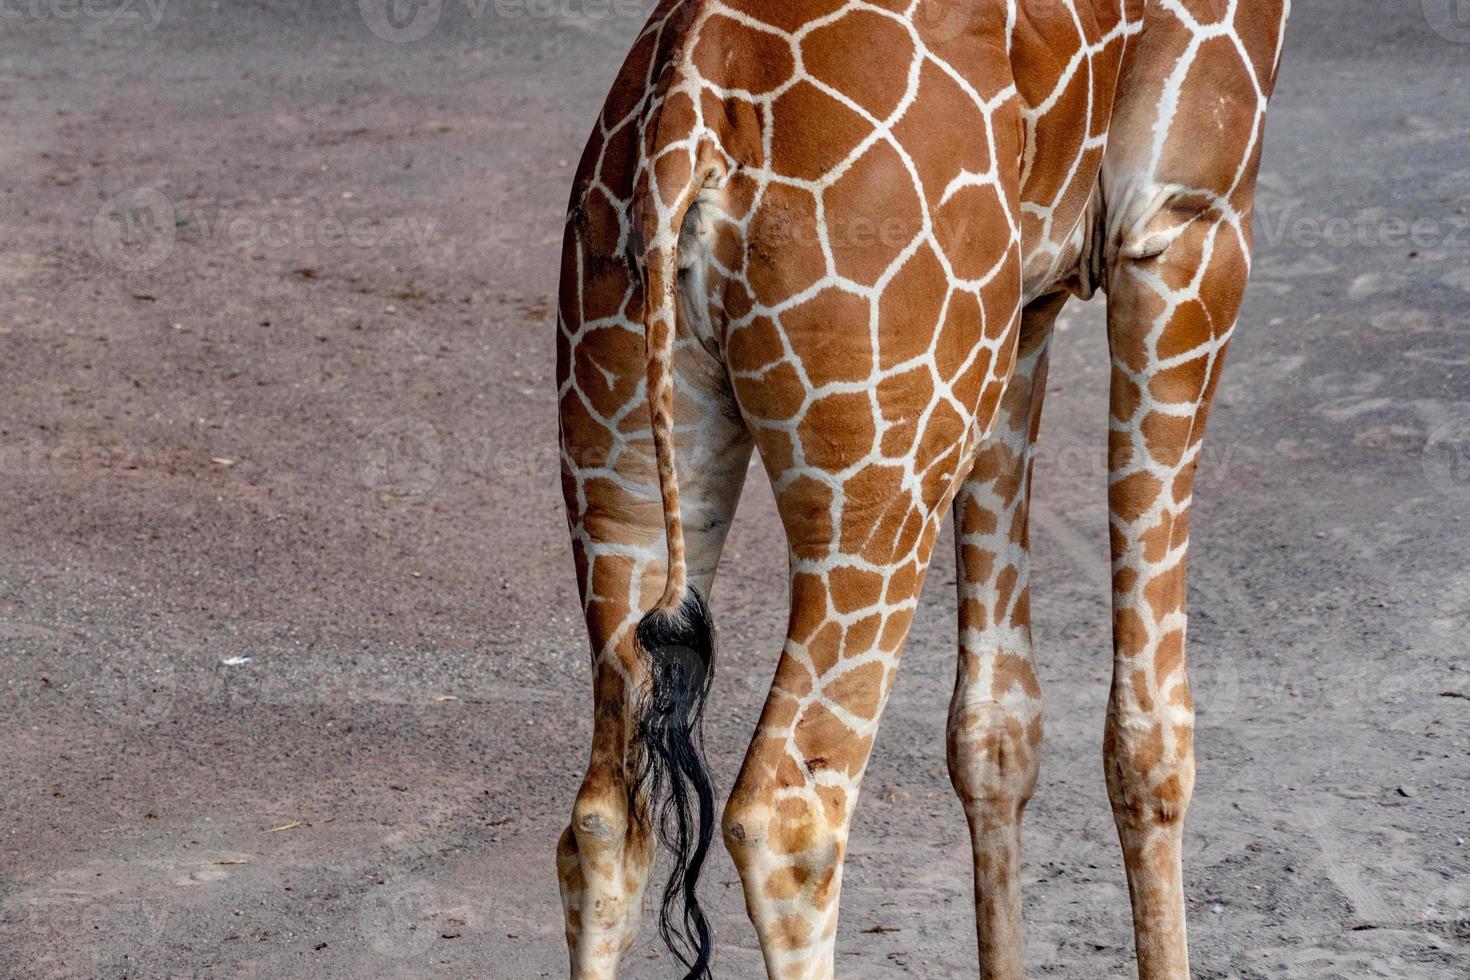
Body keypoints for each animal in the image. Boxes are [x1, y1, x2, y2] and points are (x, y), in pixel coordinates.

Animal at [555, 3, 1293, 975]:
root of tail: (689, 112)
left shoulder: (1022, 304)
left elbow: (996, 729)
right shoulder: (1187, 214)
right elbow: (1150, 740)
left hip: (623, 434)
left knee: (606, 822)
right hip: (882, 467)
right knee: (788, 816)